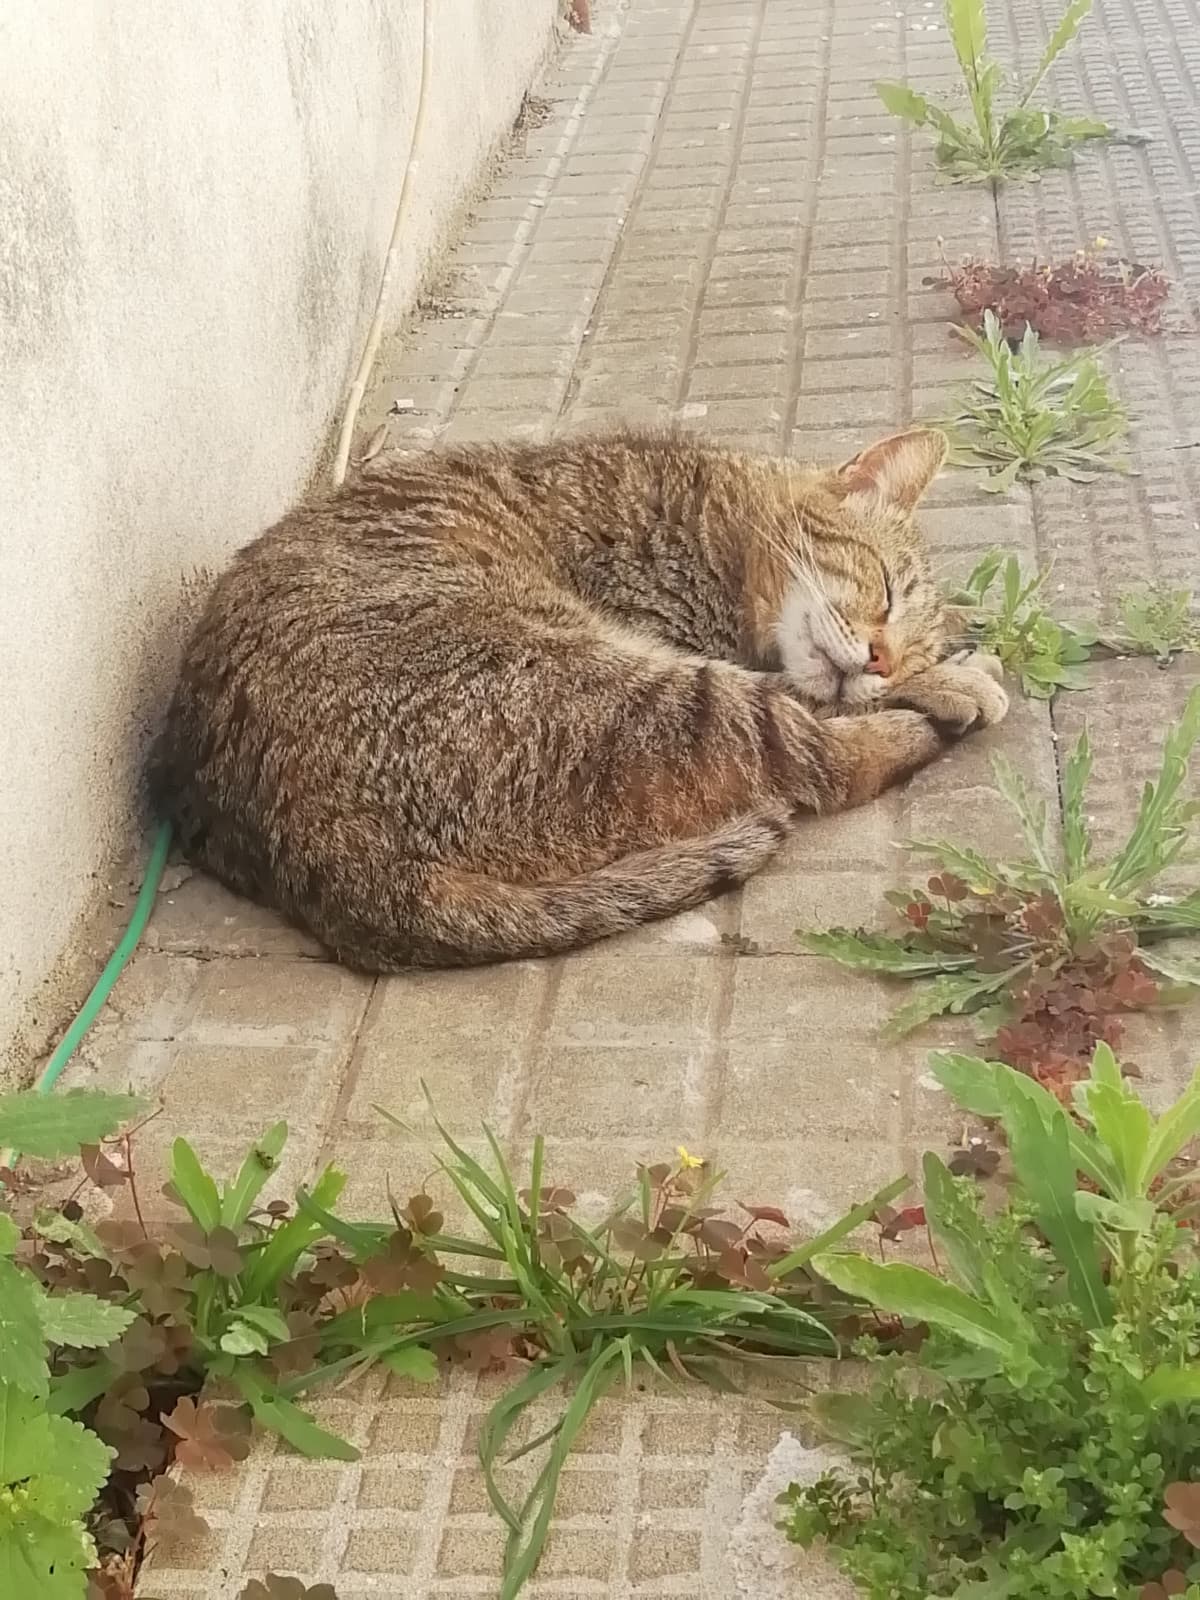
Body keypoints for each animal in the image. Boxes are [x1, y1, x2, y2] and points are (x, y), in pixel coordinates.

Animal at [155, 425, 1011, 966]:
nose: (883, 661)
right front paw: (960, 675)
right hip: (640, 693)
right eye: (888, 591)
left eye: (904, 639)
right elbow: (822, 697)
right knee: (819, 759)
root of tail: (326, 861)